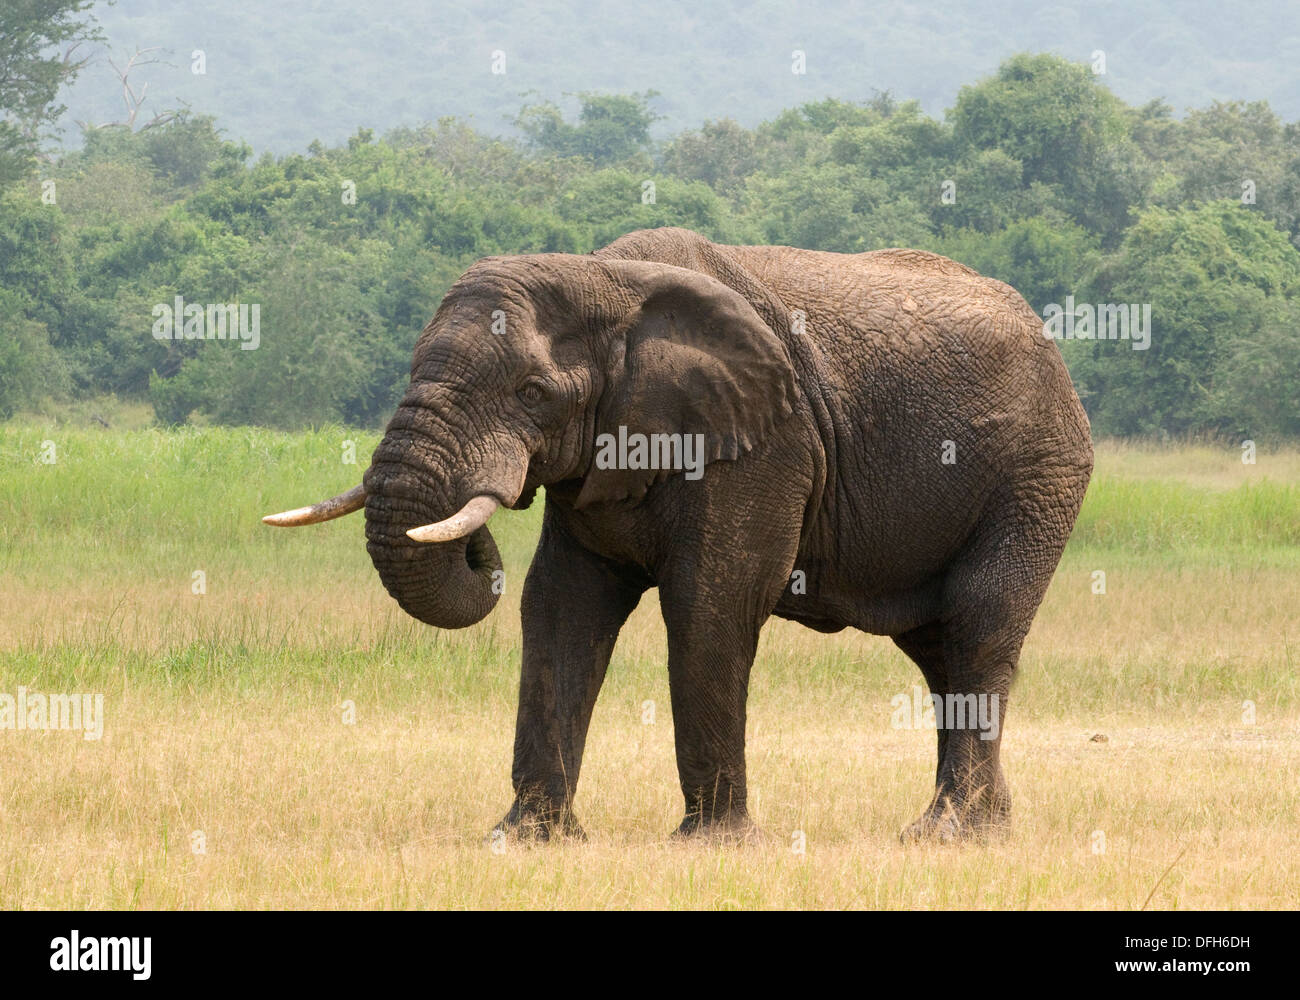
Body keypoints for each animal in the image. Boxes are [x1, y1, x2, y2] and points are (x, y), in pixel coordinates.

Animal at [264, 226, 1092, 843]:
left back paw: (947, 834)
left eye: (533, 394)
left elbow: (712, 603)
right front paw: (526, 840)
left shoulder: (762, 445)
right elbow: (559, 606)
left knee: (979, 625)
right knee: (937, 648)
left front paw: (715, 845)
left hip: (1038, 474)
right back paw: (983, 829)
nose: (475, 534)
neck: (606, 280)